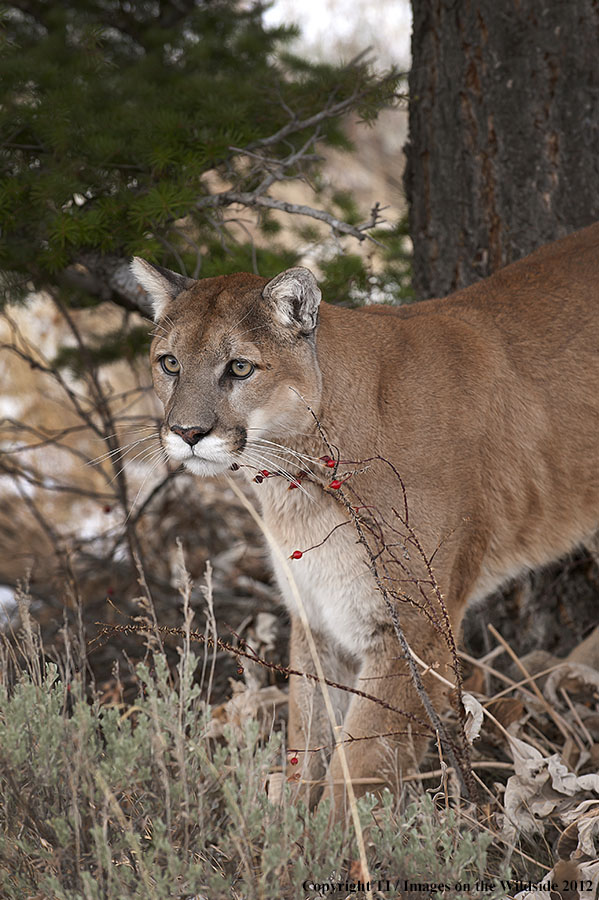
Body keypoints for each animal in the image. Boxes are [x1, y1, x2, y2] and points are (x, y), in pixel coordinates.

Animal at [134, 223, 599, 808]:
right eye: (169, 363)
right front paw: (291, 824)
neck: (298, 482)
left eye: (239, 367)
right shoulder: (316, 614)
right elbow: (307, 735)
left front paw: (336, 832)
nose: (187, 432)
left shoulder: (413, 625)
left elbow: (359, 761)